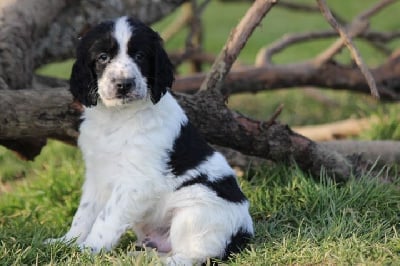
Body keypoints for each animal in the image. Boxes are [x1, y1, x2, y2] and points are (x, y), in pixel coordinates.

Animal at [47, 17, 253, 266]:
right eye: (103, 57)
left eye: (140, 56)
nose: (124, 84)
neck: (118, 117)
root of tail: (242, 234)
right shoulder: (97, 174)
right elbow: (85, 212)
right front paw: (67, 242)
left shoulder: (137, 181)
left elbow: (107, 217)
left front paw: (88, 249)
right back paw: (138, 255)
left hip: (195, 210)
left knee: (192, 255)